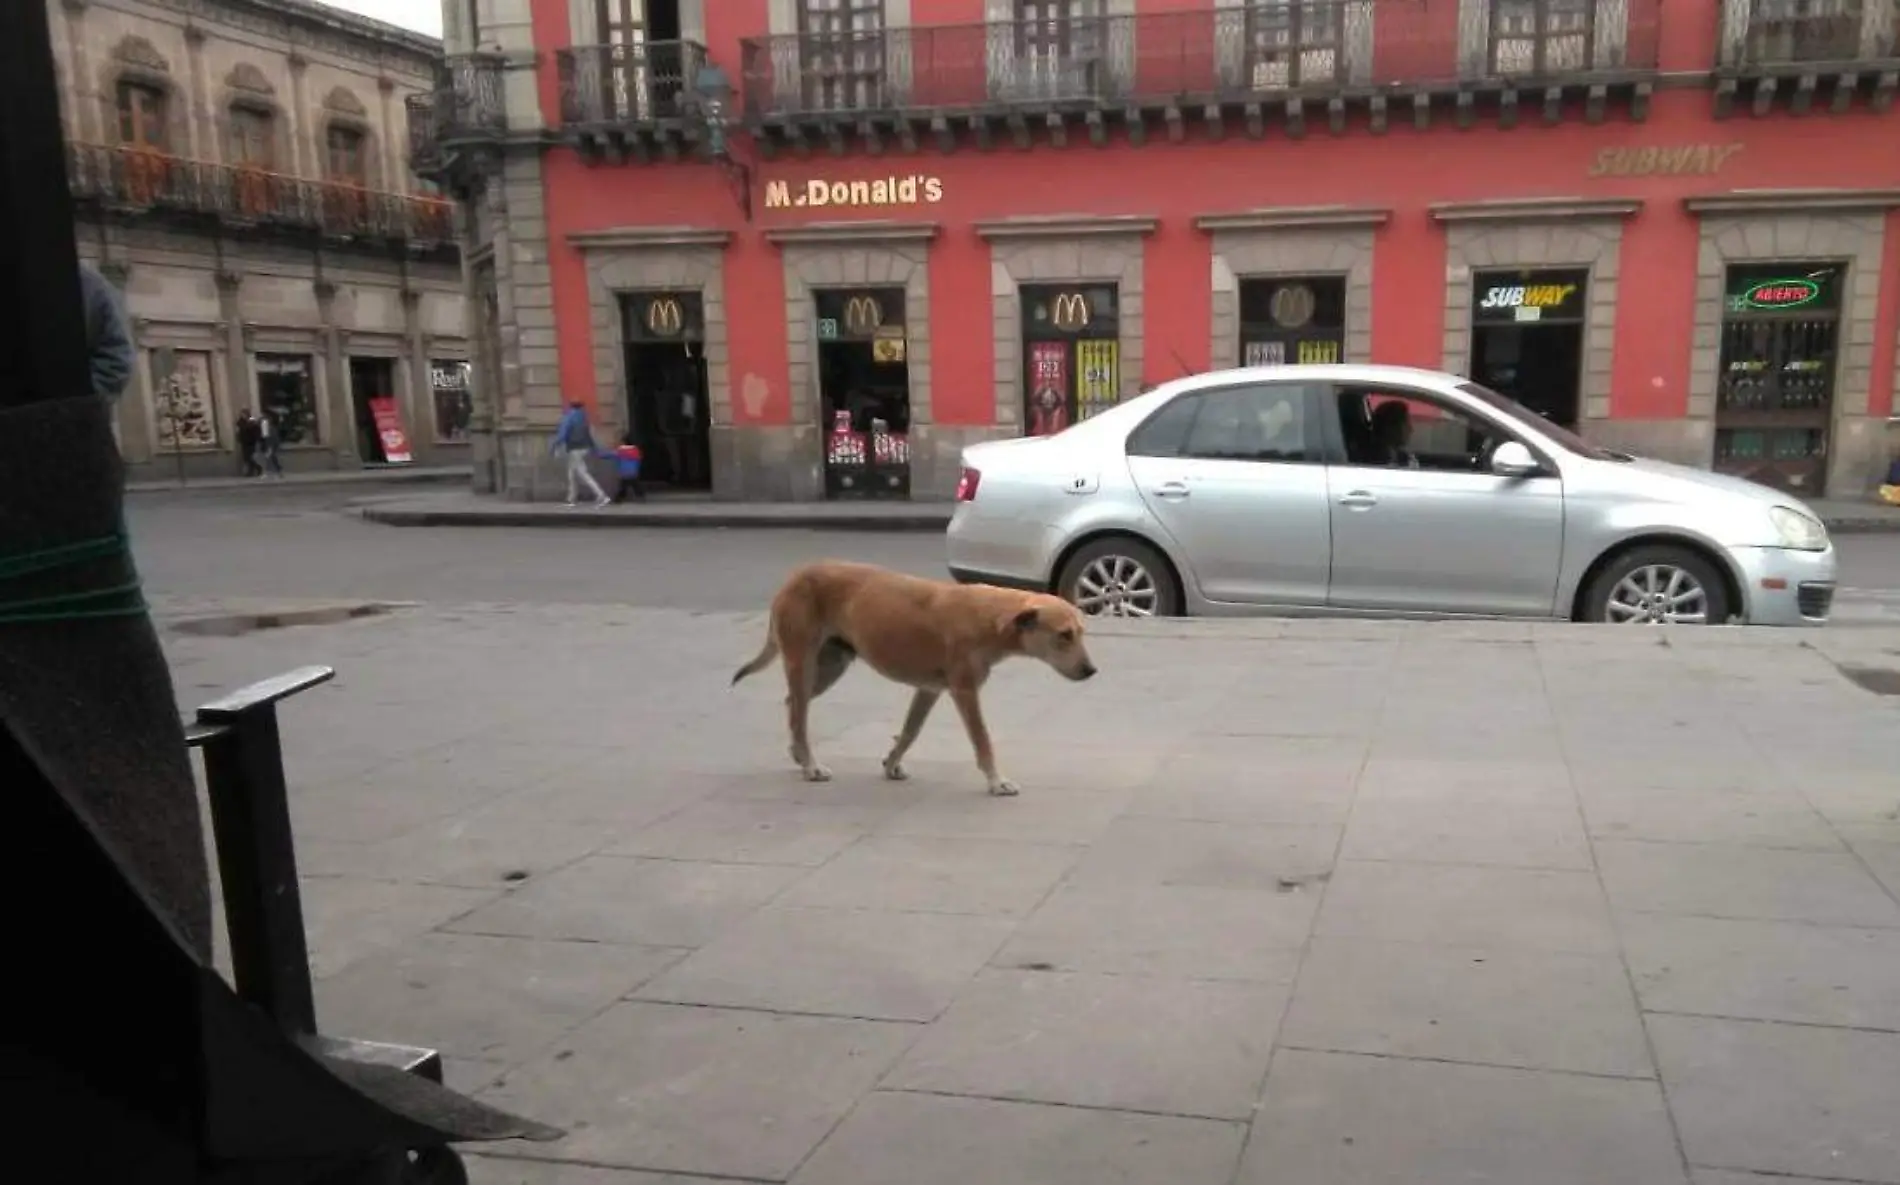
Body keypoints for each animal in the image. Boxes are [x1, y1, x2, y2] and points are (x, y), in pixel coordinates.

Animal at [729, 562, 1102, 797]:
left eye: (1081, 632)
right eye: (1064, 635)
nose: (1090, 671)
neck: (989, 618)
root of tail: (794, 576)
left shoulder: (929, 689)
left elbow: (911, 731)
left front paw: (891, 763)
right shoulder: (965, 691)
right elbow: (982, 739)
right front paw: (996, 781)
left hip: (829, 667)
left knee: (793, 703)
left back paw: (798, 754)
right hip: (802, 662)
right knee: (799, 712)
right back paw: (810, 764)